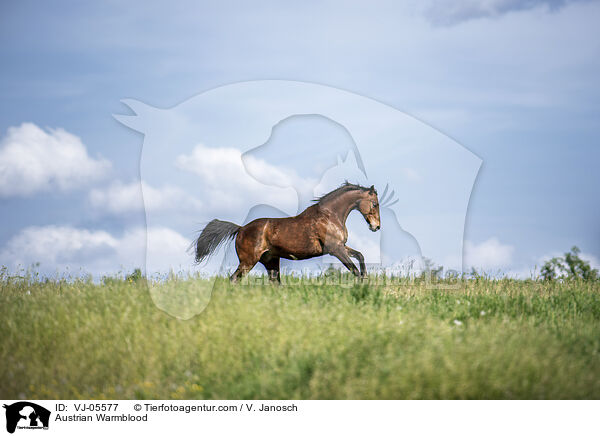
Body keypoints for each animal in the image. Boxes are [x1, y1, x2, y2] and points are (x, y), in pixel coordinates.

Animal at [192, 183, 380, 282]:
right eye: (375, 204)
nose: (376, 227)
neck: (329, 216)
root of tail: (241, 228)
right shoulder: (336, 249)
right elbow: (354, 269)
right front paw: (362, 284)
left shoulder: (341, 246)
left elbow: (360, 256)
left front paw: (366, 278)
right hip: (248, 262)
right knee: (233, 279)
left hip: (271, 261)